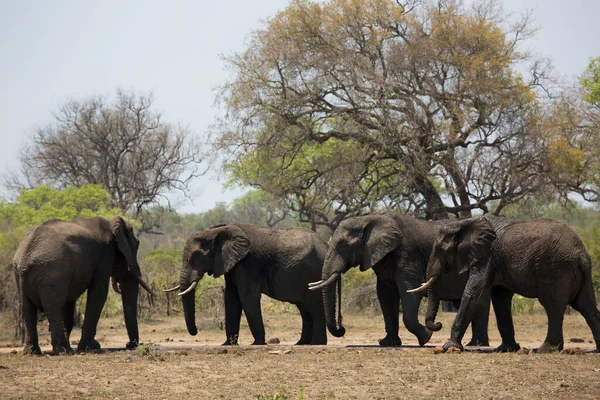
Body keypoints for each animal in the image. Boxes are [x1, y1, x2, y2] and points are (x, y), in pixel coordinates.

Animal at [14, 217, 156, 354]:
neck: (111, 225)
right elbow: (99, 293)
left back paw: (33, 352)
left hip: (21, 274)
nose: (129, 344)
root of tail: (26, 254)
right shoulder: (105, 256)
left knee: (27, 309)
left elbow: (69, 302)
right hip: (51, 272)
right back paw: (64, 351)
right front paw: (92, 347)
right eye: (136, 246)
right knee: (53, 307)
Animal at [169, 223, 336, 346]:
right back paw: (301, 343)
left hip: (314, 273)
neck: (218, 230)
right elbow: (231, 297)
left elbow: (247, 297)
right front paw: (227, 344)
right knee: (304, 309)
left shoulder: (248, 262)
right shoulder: (231, 263)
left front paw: (258, 343)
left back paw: (317, 343)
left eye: (197, 256)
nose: (196, 332)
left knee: (314, 307)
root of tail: (326, 246)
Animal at [312, 216, 490, 346]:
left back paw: (477, 345)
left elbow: (410, 289)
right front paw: (388, 343)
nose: (341, 328)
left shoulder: (407, 252)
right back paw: (475, 344)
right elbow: (385, 294)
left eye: (342, 246)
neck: (368, 218)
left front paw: (426, 337)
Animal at [414, 216, 600, 354]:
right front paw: (506, 349)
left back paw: (544, 349)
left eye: (440, 250)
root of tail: (582, 253)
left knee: (553, 306)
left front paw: (449, 347)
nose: (438, 325)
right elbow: (500, 298)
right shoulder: (496, 260)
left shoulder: (486, 257)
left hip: (556, 269)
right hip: (579, 273)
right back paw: (596, 350)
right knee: (587, 306)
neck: (464, 223)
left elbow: (474, 291)